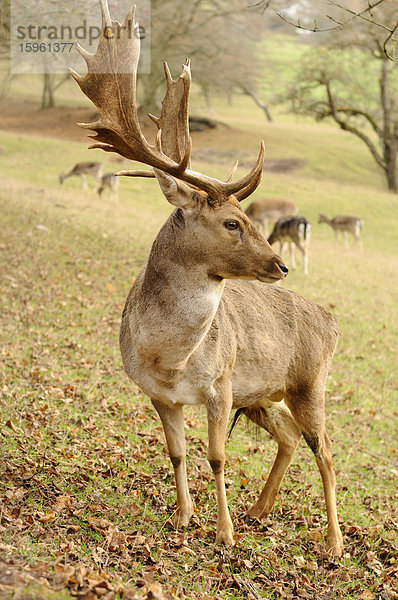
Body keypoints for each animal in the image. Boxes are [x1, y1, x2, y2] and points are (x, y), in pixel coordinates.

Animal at [72, 0, 346, 556]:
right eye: (232, 222)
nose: (280, 265)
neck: (171, 358)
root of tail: (333, 324)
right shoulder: (158, 395)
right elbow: (177, 453)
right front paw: (182, 518)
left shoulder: (220, 384)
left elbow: (217, 457)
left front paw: (224, 533)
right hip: (261, 394)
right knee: (289, 437)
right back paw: (259, 510)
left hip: (311, 381)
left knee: (327, 451)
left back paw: (332, 542)